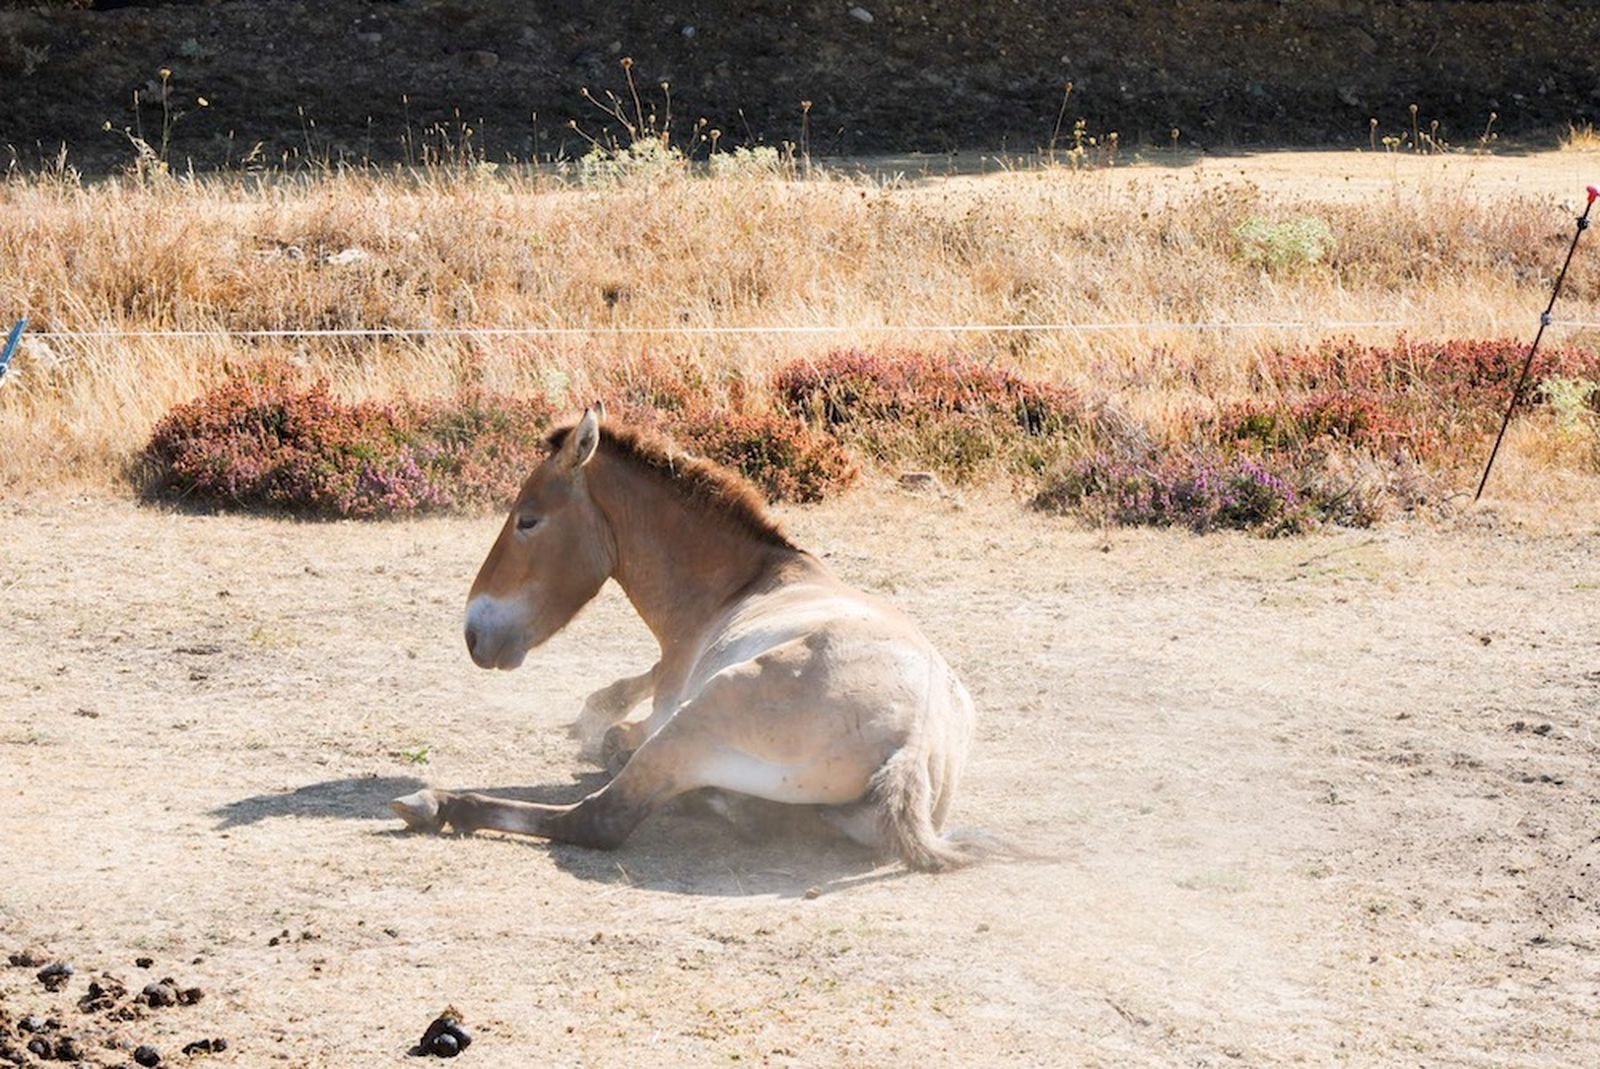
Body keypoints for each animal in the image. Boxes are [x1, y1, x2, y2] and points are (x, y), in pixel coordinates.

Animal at [391, 404, 981, 870]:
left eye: (528, 521)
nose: (474, 634)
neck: (740, 583)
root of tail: (910, 746)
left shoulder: (663, 713)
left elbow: (614, 735)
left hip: (694, 719)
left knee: (598, 819)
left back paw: (436, 803)